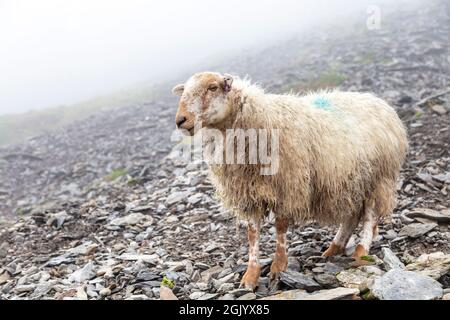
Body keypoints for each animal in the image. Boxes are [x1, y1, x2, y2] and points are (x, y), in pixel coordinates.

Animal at [171, 72, 408, 290]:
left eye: (212, 87)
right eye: (184, 92)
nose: (180, 120)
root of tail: (378, 102)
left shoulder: (288, 185)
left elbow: (281, 227)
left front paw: (279, 266)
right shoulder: (249, 192)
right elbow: (252, 234)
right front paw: (250, 276)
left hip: (379, 176)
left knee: (370, 215)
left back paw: (360, 252)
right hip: (351, 179)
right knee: (352, 215)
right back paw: (334, 247)